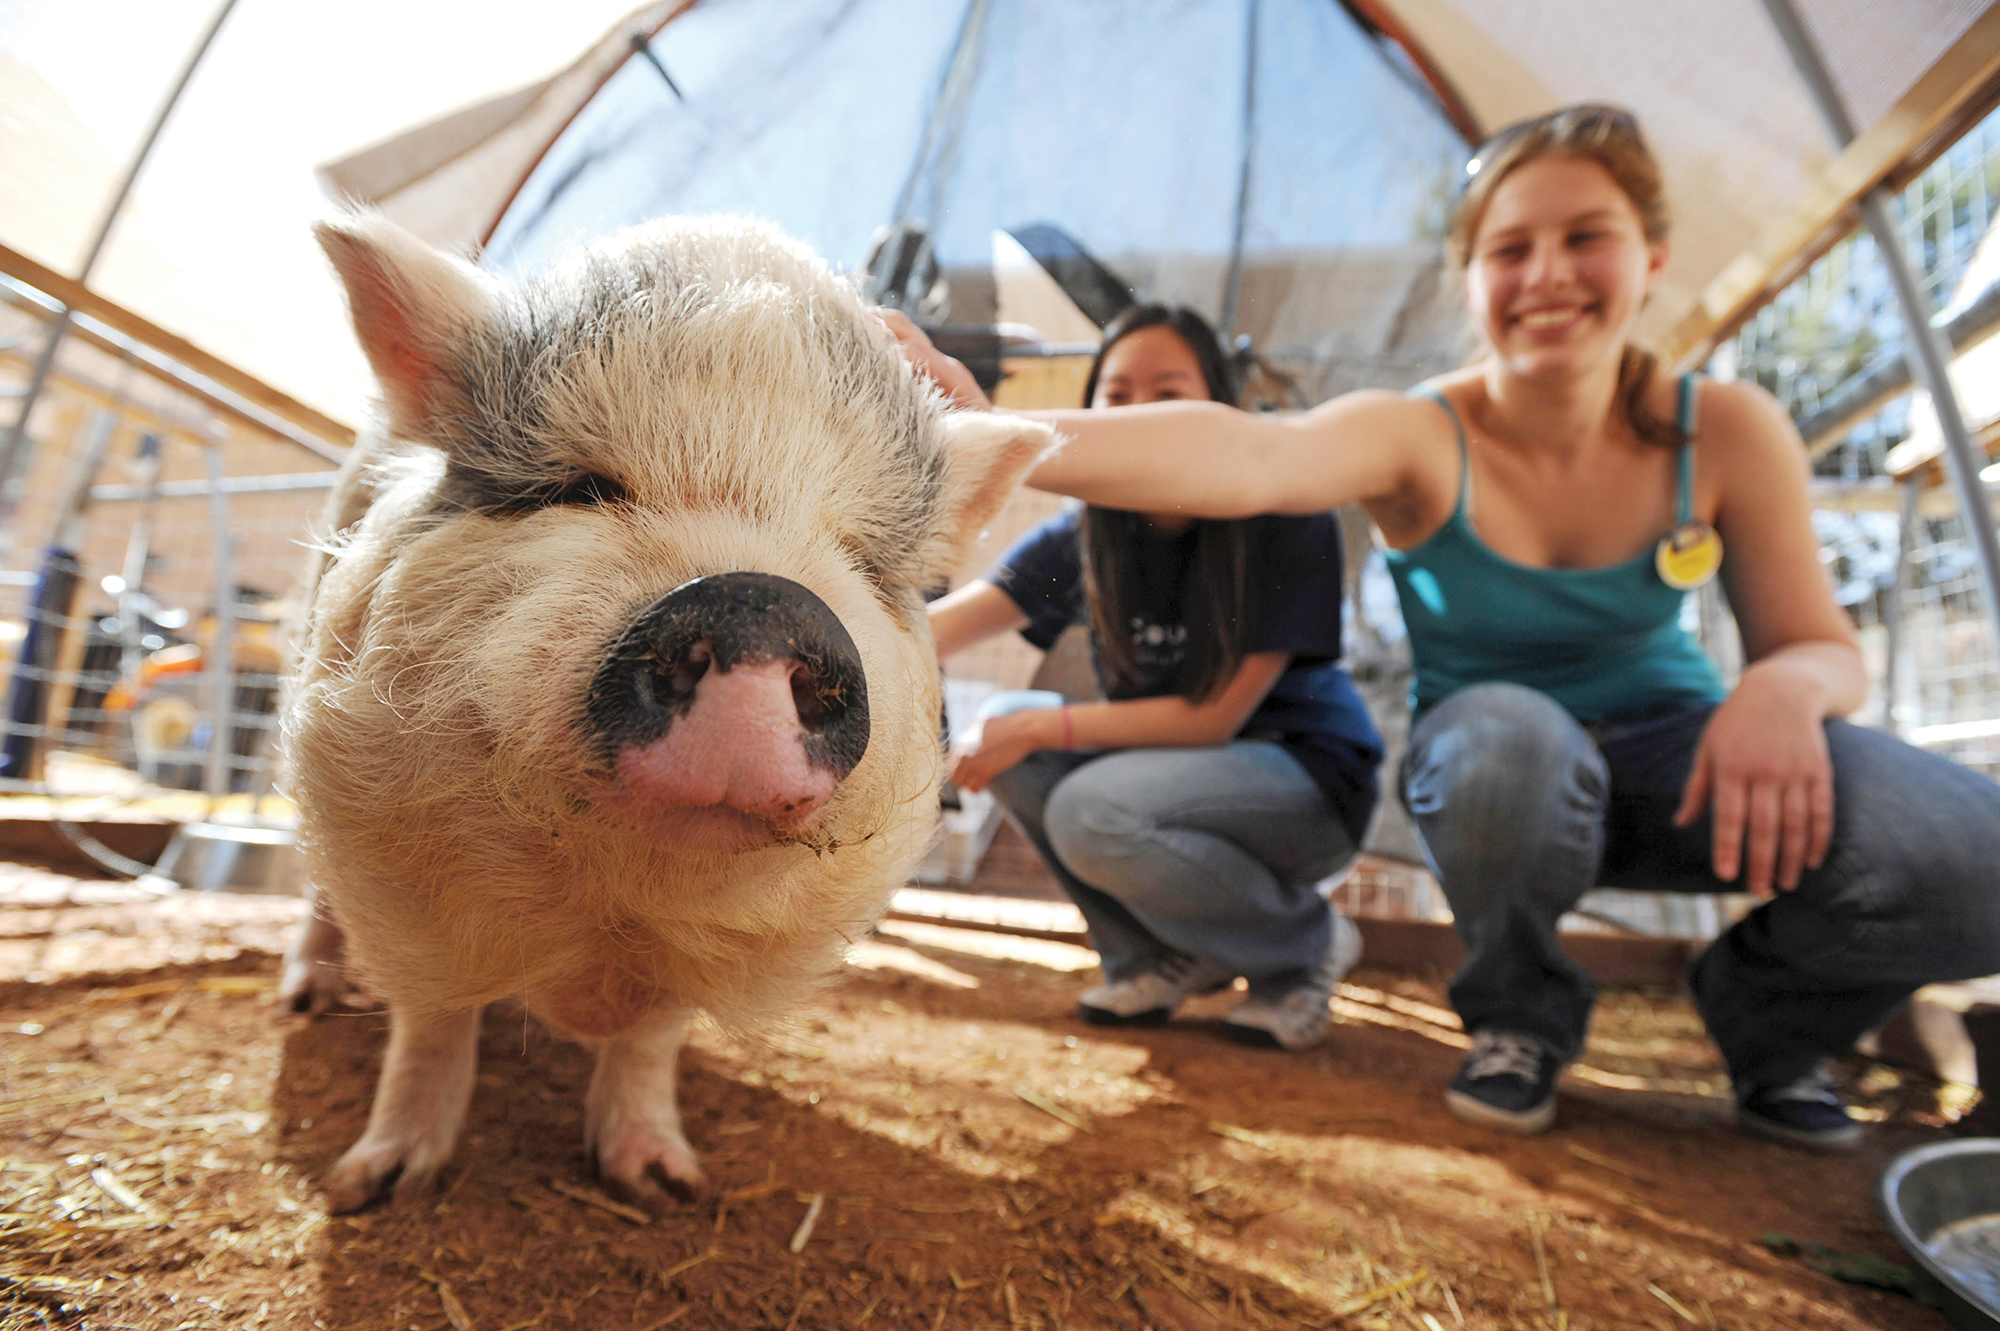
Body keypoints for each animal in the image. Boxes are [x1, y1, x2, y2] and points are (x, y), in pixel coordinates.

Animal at [282, 209, 1056, 1215]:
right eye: (583, 486)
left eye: (857, 553)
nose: (760, 603)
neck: (617, 903)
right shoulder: (390, 853)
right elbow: (433, 1017)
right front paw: (378, 1186)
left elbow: (651, 1041)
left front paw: (663, 1184)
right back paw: (309, 1001)